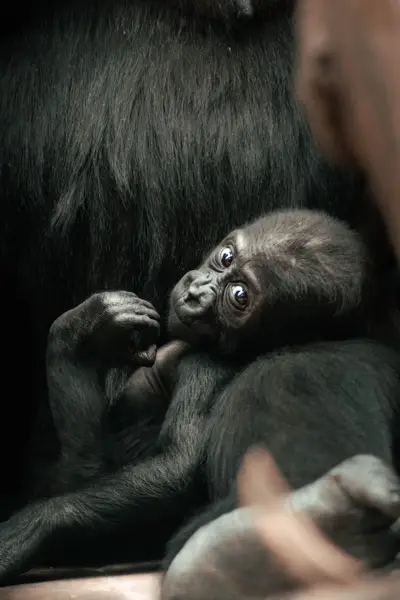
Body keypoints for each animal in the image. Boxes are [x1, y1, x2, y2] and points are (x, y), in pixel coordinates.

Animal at [0, 209, 400, 588]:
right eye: (225, 257)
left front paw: (35, 526)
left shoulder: (205, 367)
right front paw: (86, 327)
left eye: (239, 296)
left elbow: (173, 469)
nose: (196, 293)